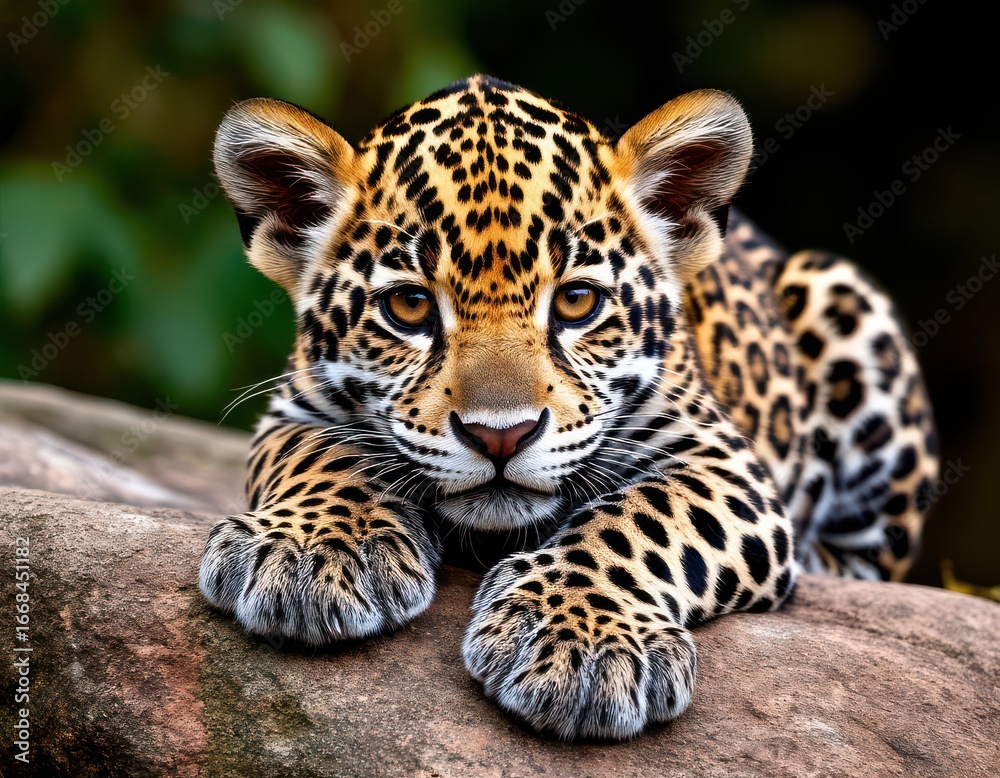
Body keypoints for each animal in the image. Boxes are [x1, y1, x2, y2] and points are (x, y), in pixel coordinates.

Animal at [199, 75, 938, 740]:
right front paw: (308, 552)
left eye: (578, 302)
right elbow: (327, 456)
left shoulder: (721, 458)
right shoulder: (294, 410)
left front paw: (578, 641)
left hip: (842, 299)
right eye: (408, 307)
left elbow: (644, 517)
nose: (501, 436)